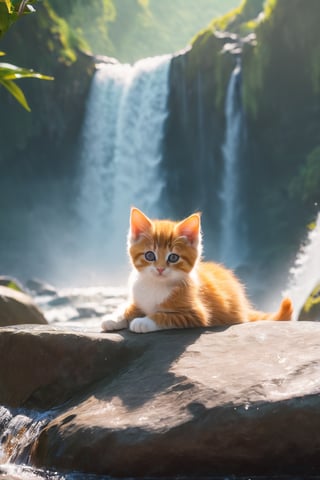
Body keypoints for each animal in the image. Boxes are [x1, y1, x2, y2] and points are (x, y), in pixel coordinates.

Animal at [101, 206, 294, 334]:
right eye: (150, 255)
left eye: (173, 257)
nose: (160, 269)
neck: (156, 284)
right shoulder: (139, 299)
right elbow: (128, 306)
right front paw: (113, 318)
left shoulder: (196, 314)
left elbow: (164, 316)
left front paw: (143, 322)